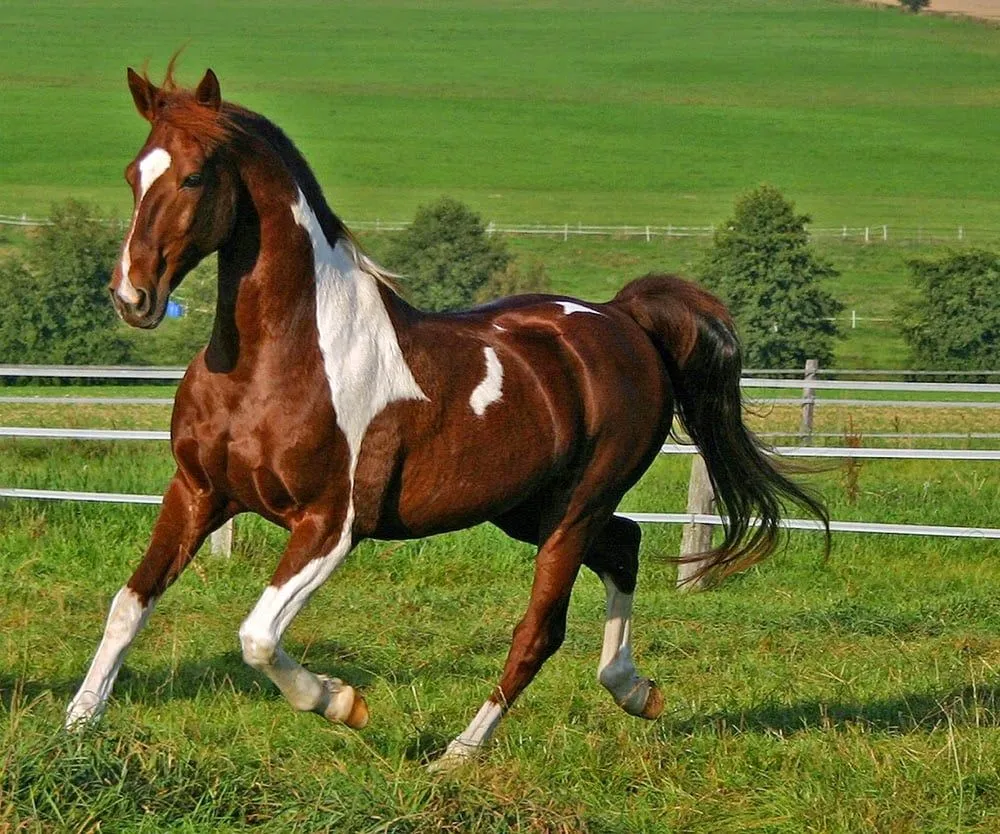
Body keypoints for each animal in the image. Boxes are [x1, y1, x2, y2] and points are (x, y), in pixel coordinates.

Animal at [66, 65, 828, 768]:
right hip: (527, 508)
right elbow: (129, 605)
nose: (132, 296)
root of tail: (622, 319)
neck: (278, 356)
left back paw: (458, 755)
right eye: (134, 174)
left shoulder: (330, 524)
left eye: (194, 177)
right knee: (626, 544)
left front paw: (343, 702)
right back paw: (636, 691)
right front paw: (77, 726)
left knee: (540, 629)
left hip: (574, 510)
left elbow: (257, 637)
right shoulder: (198, 491)